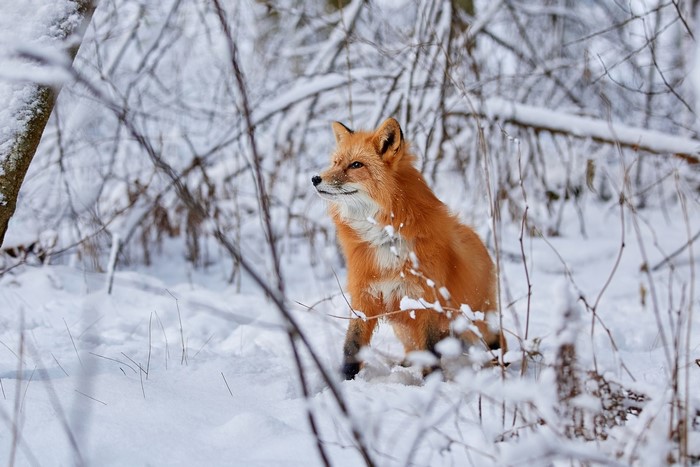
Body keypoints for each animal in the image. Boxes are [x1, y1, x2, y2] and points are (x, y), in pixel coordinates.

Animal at [312, 117, 505, 380]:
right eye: (335, 163)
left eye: (356, 165)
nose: (315, 178)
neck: (385, 240)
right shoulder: (364, 296)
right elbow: (352, 345)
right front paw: (345, 380)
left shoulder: (427, 300)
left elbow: (432, 351)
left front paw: (434, 383)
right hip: (405, 326)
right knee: (413, 348)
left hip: (477, 320)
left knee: (496, 340)